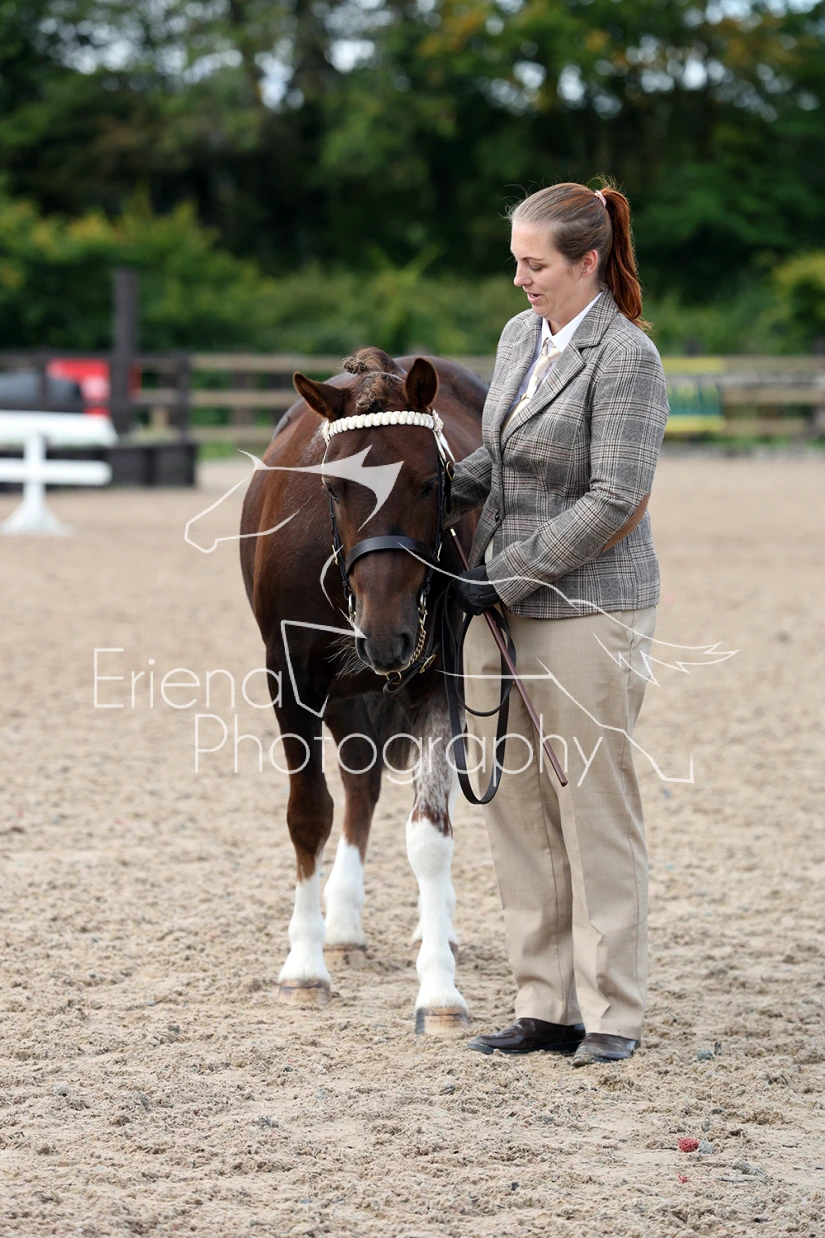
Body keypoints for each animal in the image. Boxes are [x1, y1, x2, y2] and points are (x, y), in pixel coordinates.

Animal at [239, 347, 487, 1034]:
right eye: (333, 486)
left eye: (431, 484)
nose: (385, 636)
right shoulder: (291, 680)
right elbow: (308, 816)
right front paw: (304, 969)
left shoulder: (439, 679)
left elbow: (431, 832)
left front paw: (439, 991)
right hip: (347, 695)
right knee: (357, 786)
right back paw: (342, 928)